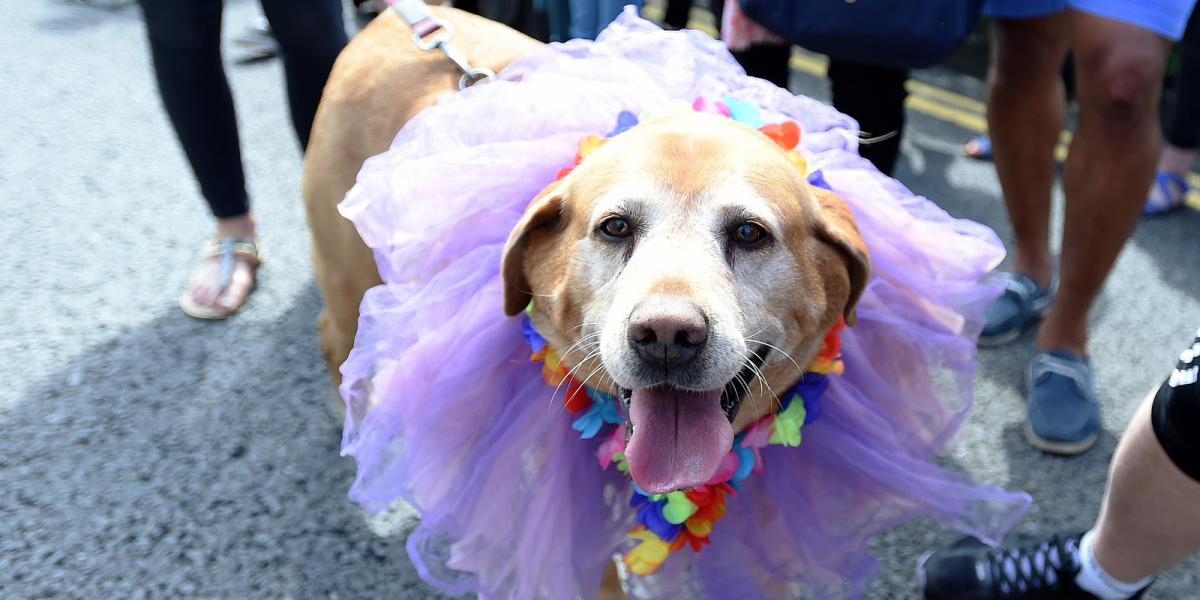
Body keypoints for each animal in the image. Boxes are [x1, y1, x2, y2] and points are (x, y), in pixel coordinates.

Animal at [304, 4, 868, 595]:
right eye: (615, 227)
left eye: (749, 233)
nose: (667, 335)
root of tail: (390, 22)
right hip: (347, 278)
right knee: (333, 337)